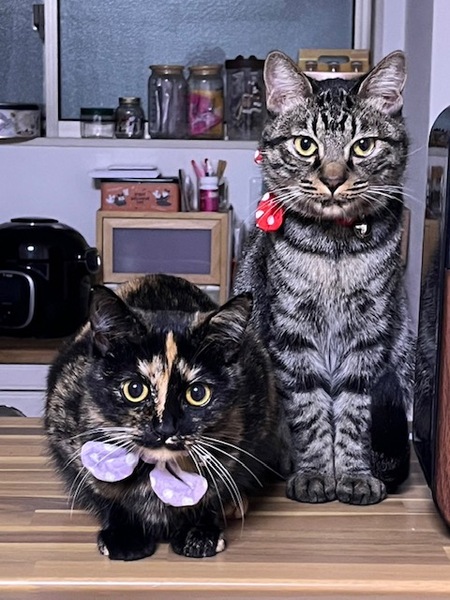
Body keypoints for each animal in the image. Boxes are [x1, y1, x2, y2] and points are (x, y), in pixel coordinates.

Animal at [44, 274, 280, 560]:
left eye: (197, 393)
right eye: (135, 389)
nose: (165, 428)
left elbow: (216, 490)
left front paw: (198, 532)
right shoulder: (65, 427)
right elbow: (102, 490)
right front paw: (125, 535)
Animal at [233, 50, 414, 506]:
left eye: (363, 145)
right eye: (305, 144)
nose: (332, 179)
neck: (335, 250)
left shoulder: (369, 336)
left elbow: (353, 415)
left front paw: (352, 475)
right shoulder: (291, 334)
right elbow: (310, 412)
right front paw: (314, 473)